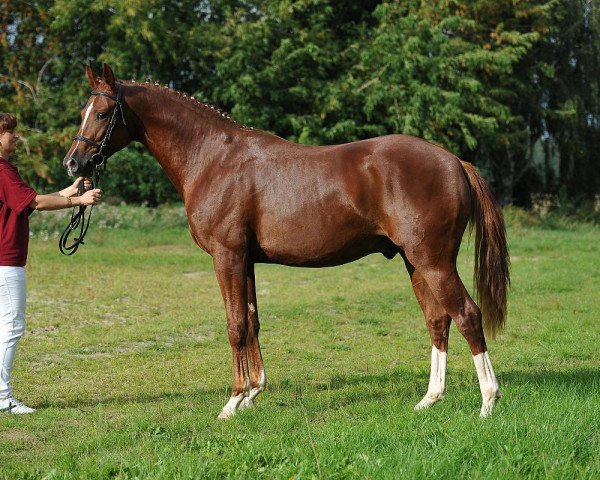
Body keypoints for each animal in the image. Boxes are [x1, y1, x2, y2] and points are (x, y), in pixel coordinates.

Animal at [65, 63, 508, 416]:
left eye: (102, 112)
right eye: (83, 111)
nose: (73, 162)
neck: (212, 159)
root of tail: (455, 162)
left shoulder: (227, 257)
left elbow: (235, 325)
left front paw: (232, 402)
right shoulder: (245, 261)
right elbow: (252, 322)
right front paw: (252, 394)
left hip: (434, 261)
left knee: (466, 314)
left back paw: (488, 402)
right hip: (414, 261)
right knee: (437, 320)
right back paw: (429, 399)